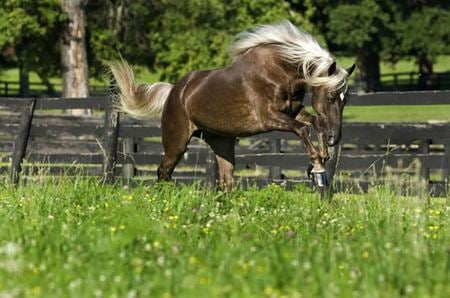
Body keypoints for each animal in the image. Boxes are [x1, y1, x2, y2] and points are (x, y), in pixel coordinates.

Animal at [110, 21, 356, 193]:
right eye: (331, 97)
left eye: (345, 100)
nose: (335, 138)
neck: (278, 71)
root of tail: (174, 91)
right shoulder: (268, 118)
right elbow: (303, 129)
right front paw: (316, 164)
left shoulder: (293, 111)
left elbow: (316, 122)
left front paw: (322, 157)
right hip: (177, 143)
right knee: (163, 171)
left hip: (222, 143)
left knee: (226, 181)